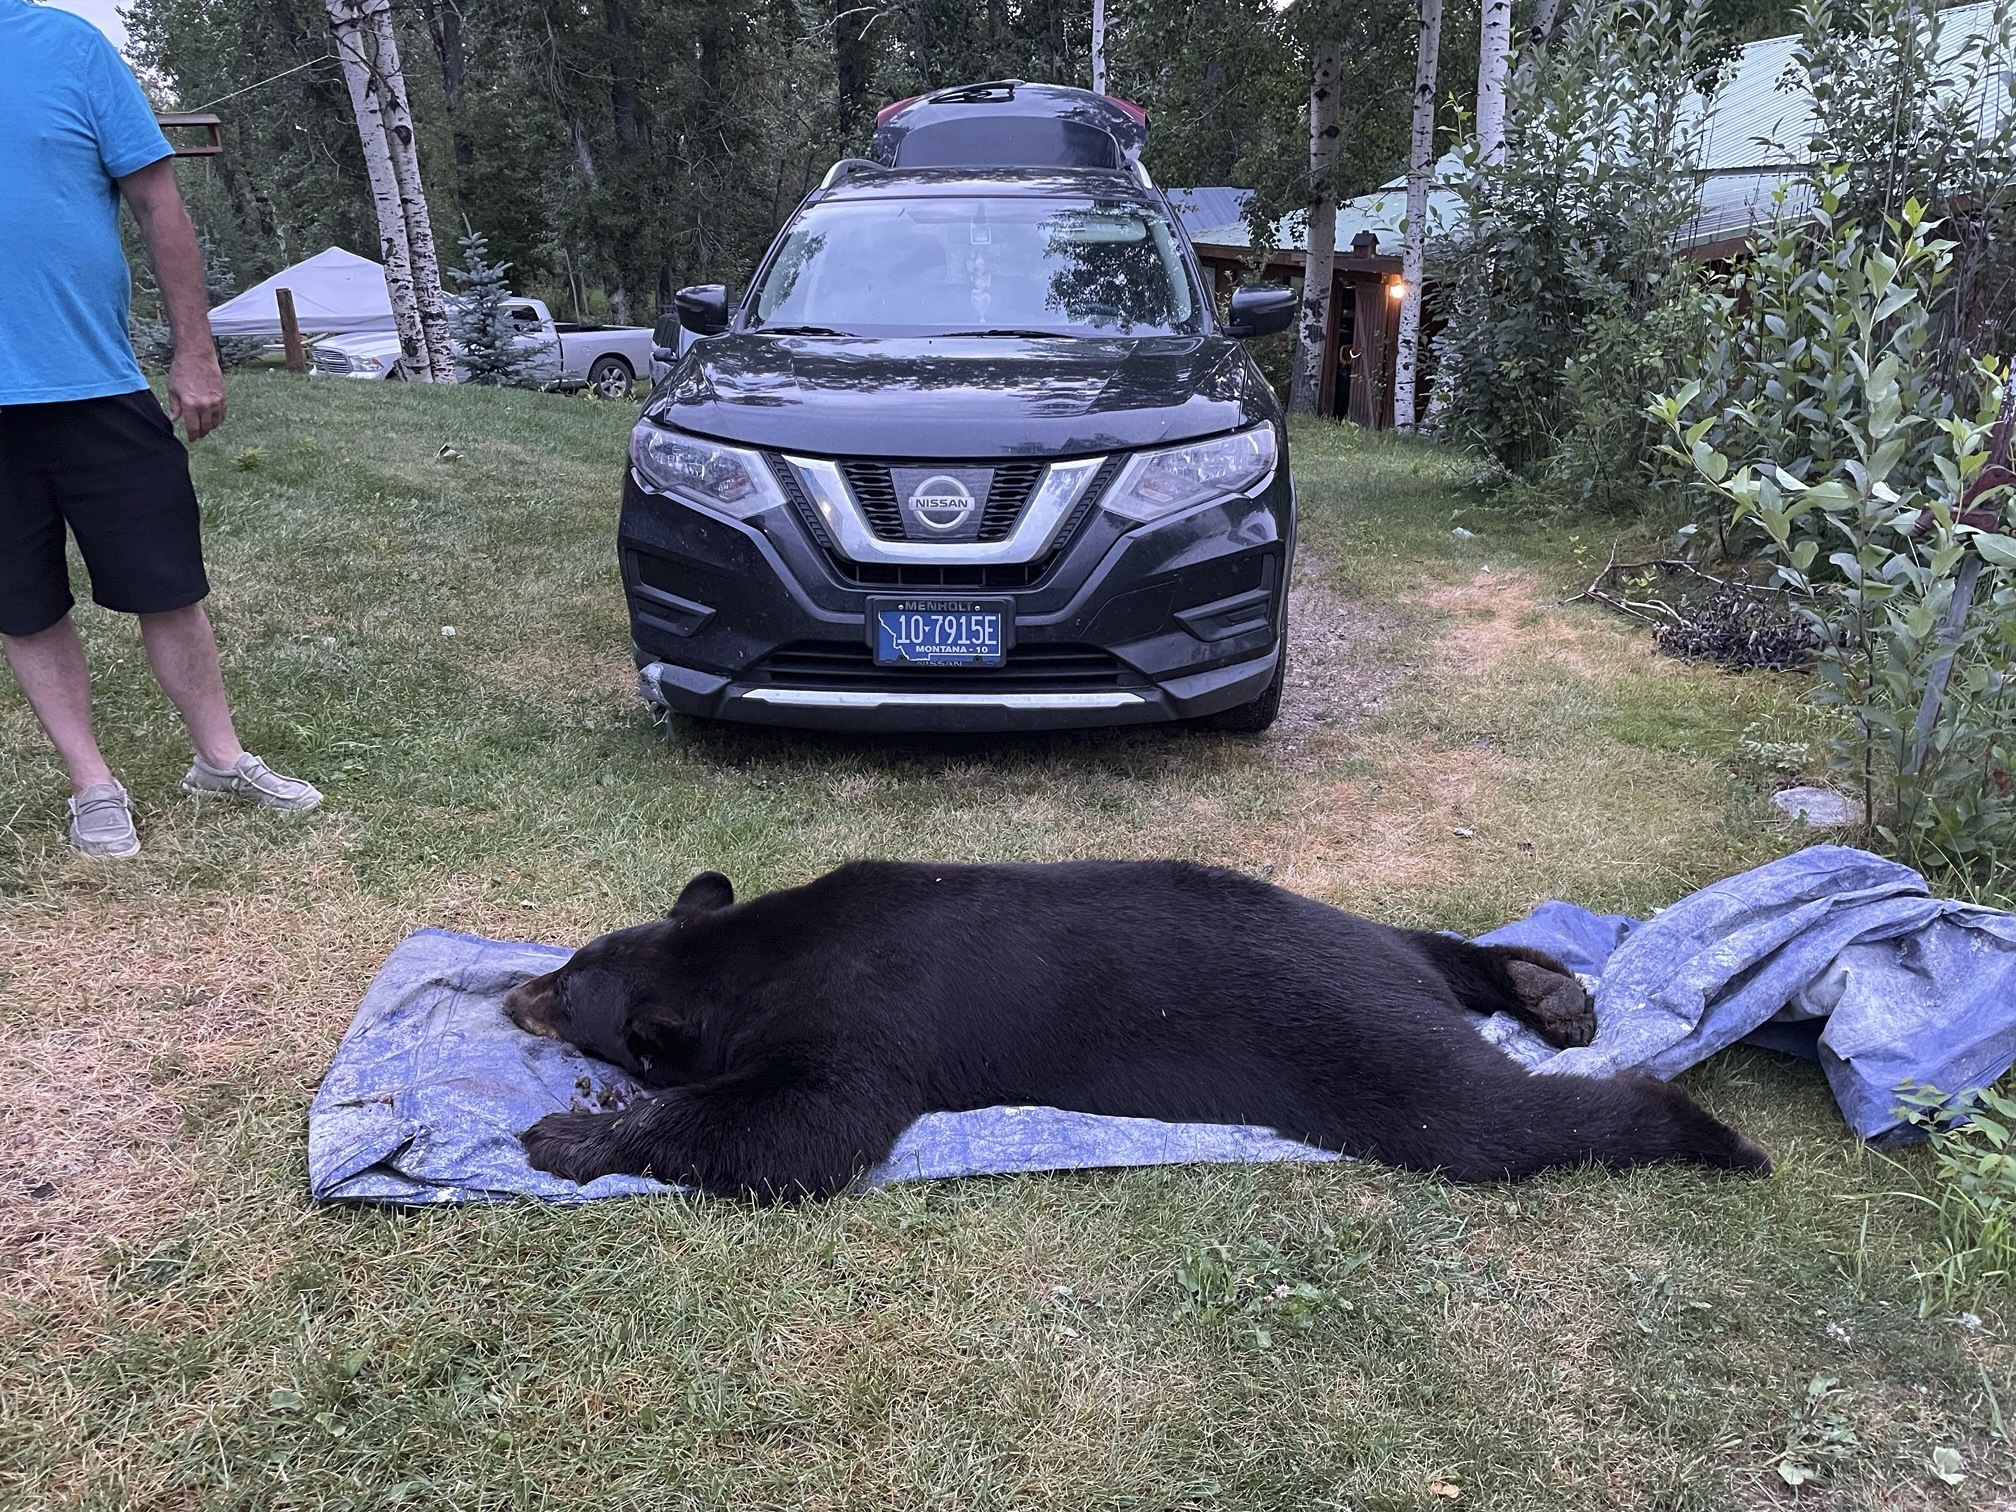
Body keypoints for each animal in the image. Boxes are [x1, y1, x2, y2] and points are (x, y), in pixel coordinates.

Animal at [506, 859, 1770, 1198]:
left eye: (568, 994)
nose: (512, 990)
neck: (750, 960)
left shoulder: (865, 1018)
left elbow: (803, 1127)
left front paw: (567, 1137)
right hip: (1368, 939)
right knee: (1433, 945)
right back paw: (1547, 990)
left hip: (1370, 1047)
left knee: (1490, 1118)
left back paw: (1703, 1130)